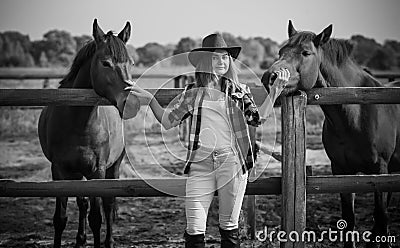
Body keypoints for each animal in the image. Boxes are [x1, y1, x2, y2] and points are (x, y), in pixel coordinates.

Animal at [38, 19, 140, 248]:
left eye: (131, 63)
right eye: (105, 63)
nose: (131, 103)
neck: (78, 123)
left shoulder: (98, 172)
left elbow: (96, 217)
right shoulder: (59, 171)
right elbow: (60, 218)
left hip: (113, 168)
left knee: (108, 205)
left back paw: (108, 241)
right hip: (77, 173)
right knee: (82, 203)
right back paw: (80, 240)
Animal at [262, 20, 400, 247]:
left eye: (306, 52)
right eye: (281, 51)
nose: (269, 77)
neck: (357, 110)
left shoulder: (380, 170)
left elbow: (380, 217)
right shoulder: (341, 170)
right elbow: (349, 220)